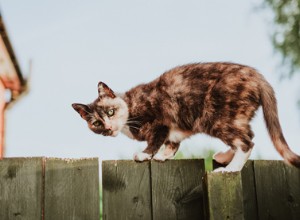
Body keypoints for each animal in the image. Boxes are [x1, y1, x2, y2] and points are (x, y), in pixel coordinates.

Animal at [72, 61, 300, 172]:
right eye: (96, 123)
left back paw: (231, 169)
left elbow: (155, 140)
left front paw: (145, 154)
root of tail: (257, 75)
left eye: (110, 111)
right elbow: (172, 144)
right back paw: (224, 157)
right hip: (235, 117)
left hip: (217, 118)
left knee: (246, 142)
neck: (130, 107)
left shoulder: (160, 122)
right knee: (248, 135)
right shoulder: (174, 131)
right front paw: (164, 156)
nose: (109, 128)